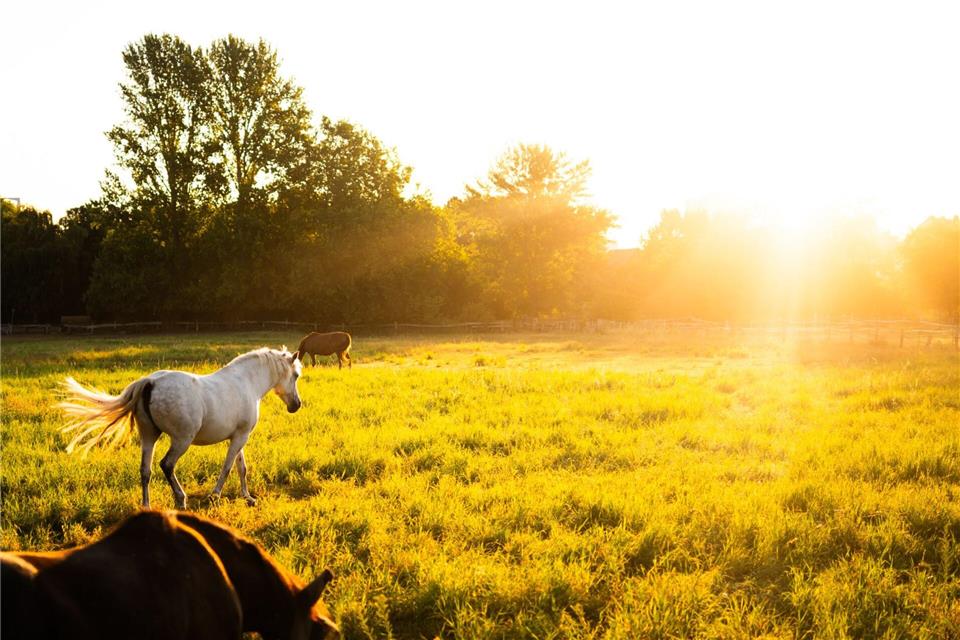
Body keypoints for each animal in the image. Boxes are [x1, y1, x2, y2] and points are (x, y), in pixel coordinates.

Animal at [60, 347, 303, 509]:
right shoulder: (240, 436)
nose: (296, 405)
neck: (246, 382)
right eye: (296, 375)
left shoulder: (238, 436)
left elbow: (241, 467)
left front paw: (248, 497)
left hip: (149, 437)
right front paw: (214, 496)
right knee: (166, 465)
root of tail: (149, 382)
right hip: (182, 439)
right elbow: (227, 467)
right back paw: (181, 499)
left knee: (145, 470)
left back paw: (147, 506)